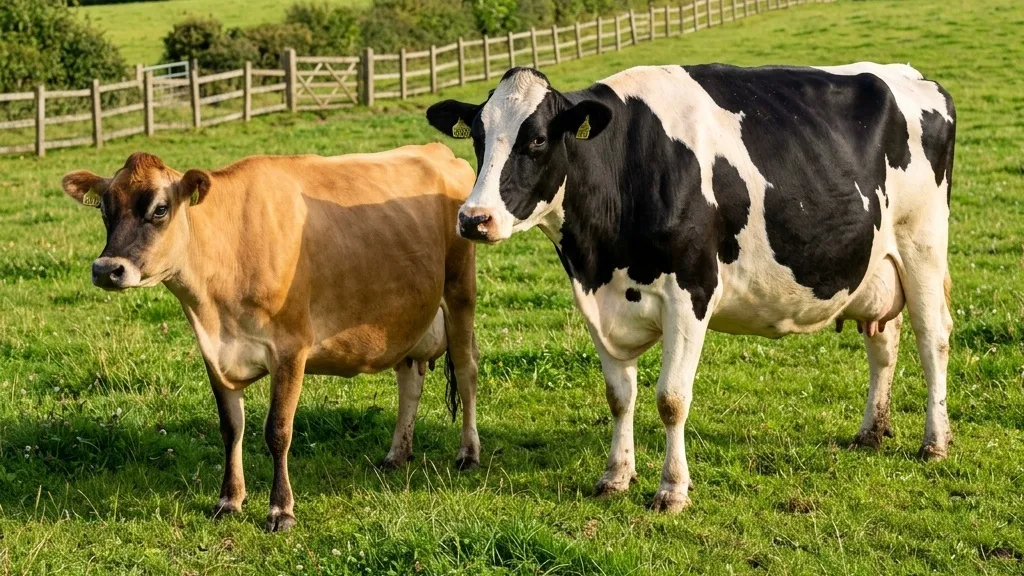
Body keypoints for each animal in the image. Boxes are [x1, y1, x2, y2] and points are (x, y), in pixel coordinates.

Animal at [61, 145, 480, 530]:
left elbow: (278, 431)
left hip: (460, 291)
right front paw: (229, 499)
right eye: (104, 209)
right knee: (410, 380)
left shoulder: (291, 348)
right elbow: (231, 428)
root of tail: (438, 151)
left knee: (466, 371)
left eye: (160, 209)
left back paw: (468, 453)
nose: (107, 269)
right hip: (407, 315)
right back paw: (397, 454)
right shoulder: (215, 353)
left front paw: (281, 510)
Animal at [426, 63, 955, 512]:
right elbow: (619, 396)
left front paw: (672, 490)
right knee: (883, 343)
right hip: (876, 267)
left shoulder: (690, 293)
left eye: (535, 140)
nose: (473, 219)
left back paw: (935, 441)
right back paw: (872, 431)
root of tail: (914, 76)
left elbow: (671, 399)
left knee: (933, 339)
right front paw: (616, 476)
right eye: (477, 138)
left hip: (923, 245)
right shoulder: (599, 302)